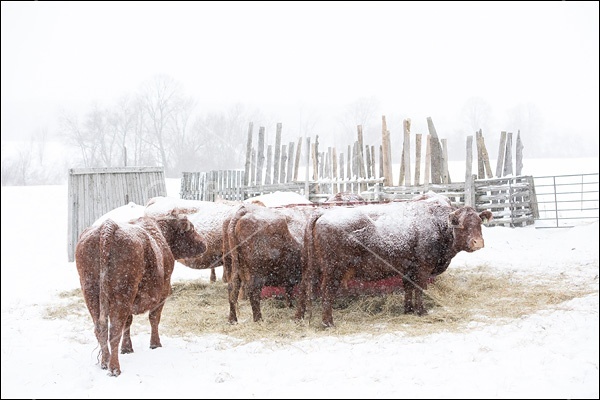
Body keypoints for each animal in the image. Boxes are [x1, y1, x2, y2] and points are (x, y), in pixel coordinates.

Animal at [75, 211, 207, 376]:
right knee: (114, 331)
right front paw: (155, 344)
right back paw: (114, 368)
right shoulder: (162, 294)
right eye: (192, 229)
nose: (204, 244)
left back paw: (105, 363)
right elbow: (154, 318)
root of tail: (108, 227)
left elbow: (128, 323)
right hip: (122, 295)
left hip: (91, 294)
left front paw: (127, 348)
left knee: (101, 329)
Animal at [296, 192, 492, 326]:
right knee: (326, 291)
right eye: (461, 225)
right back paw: (327, 322)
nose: (478, 242)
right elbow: (419, 288)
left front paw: (408, 309)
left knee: (304, 287)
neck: (435, 223)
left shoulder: (408, 269)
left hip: (311, 267)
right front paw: (421, 311)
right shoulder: (422, 268)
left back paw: (299, 317)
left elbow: (408, 288)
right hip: (333, 270)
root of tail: (322, 213)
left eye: (479, 223)